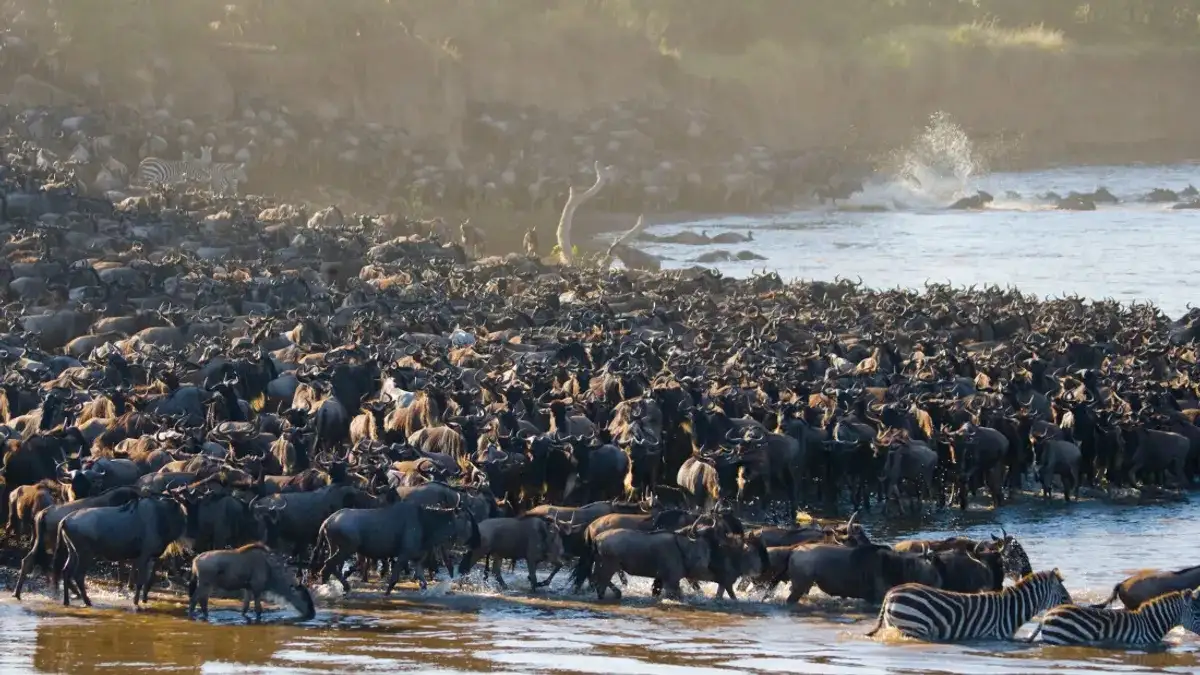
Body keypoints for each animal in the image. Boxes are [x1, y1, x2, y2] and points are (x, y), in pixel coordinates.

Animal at [868, 564, 1075, 638]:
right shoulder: (993, 636)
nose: (1071, 608)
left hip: (894, 624)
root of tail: (891, 593)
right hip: (914, 626)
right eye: (1064, 597)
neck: (1011, 609)